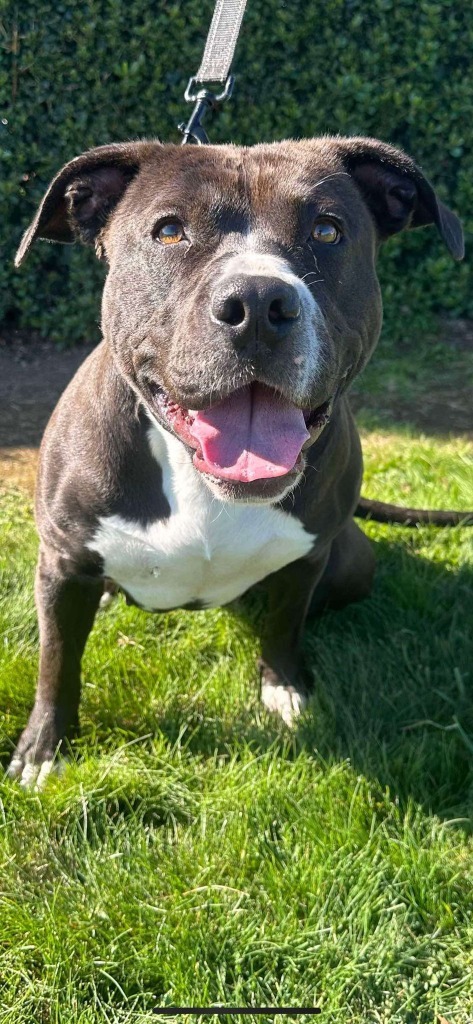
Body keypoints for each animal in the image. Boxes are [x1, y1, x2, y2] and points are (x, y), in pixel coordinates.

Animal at [9, 136, 462, 786]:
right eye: (169, 231)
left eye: (327, 230)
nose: (257, 301)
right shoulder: (62, 565)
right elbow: (57, 662)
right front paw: (43, 749)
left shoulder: (309, 556)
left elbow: (285, 623)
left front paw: (284, 687)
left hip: (353, 561)